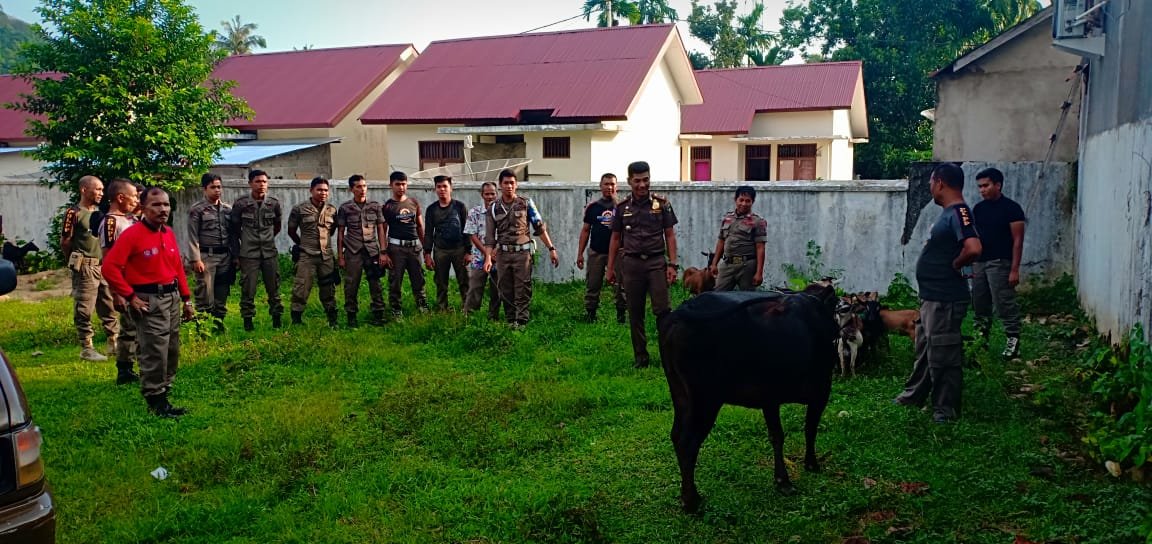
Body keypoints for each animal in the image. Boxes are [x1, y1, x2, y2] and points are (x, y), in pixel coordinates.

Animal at [658, 284, 838, 514]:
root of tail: (681, 311)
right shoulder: (821, 391)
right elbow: (810, 429)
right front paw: (811, 464)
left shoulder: (770, 398)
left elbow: (777, 435)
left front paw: (782, 481)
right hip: (705, 400)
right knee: (688, 442)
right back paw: (691, 501)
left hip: (680, 394)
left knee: (676, 435)